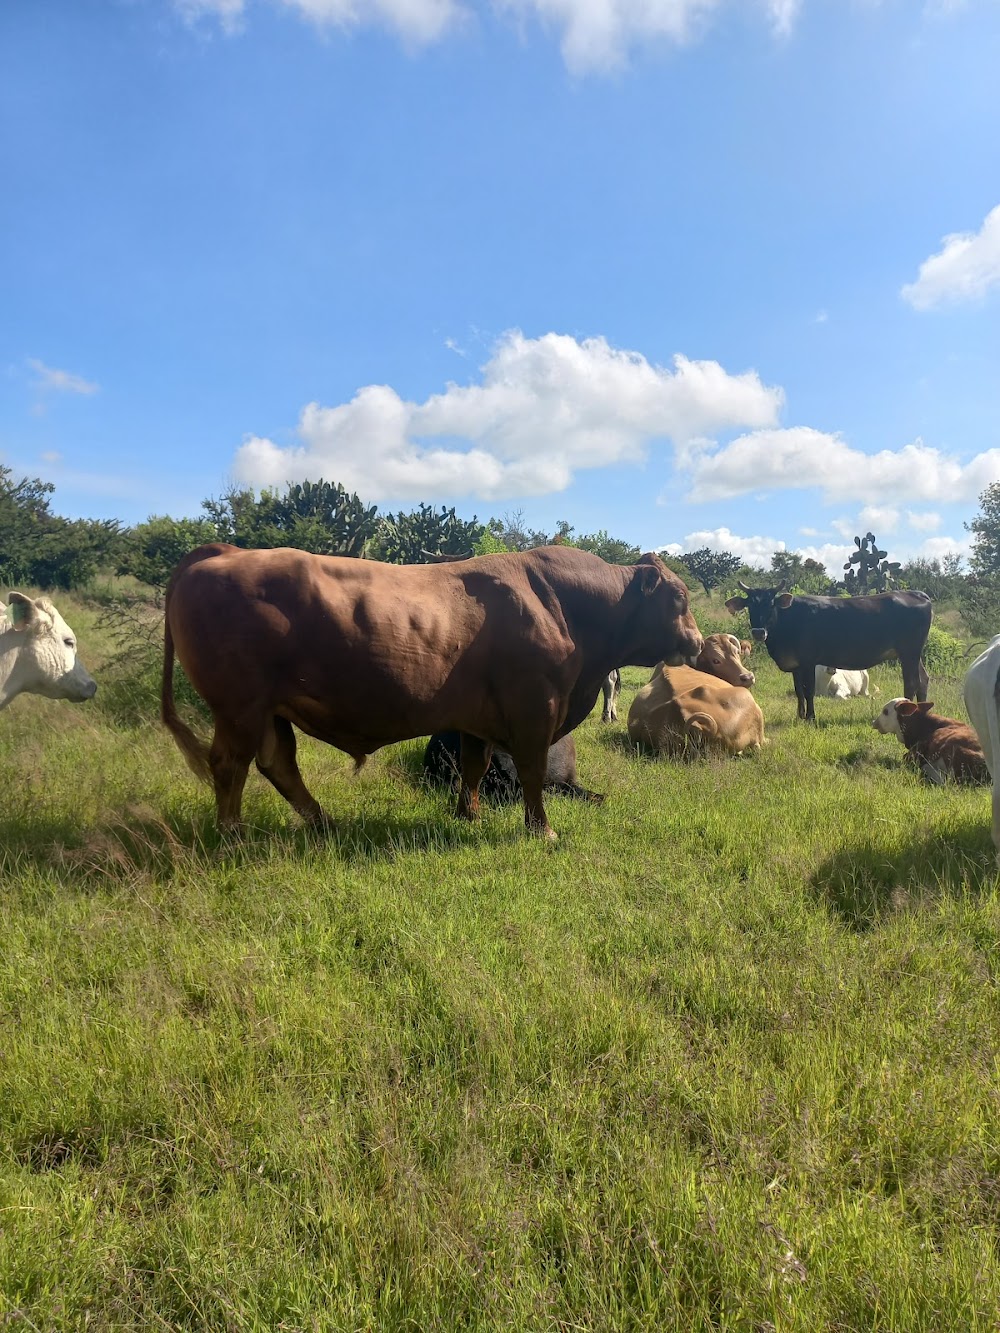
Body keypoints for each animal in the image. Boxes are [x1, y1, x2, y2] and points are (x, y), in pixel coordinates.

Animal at [162, 538, 704, 831]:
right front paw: (542, 830)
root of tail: (225, 552)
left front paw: (469, 816)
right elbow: (531, 774)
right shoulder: (535, 708)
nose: (698, 642)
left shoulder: (480, 719)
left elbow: (474, 767)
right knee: (229, 765)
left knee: (277, 764)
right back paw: (233, 833)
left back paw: (323, 823)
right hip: (240, 708)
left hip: (270, 711)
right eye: (678, 597)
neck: (560, 603)